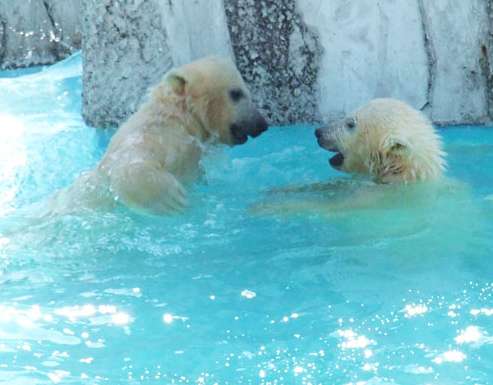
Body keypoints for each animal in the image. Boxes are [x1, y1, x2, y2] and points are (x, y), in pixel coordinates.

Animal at [49, 55, 268, 214]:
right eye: (236, 93)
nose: (262, 124)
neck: (180, 116)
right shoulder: (162, 136)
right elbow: (128, 163)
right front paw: (171, 198)